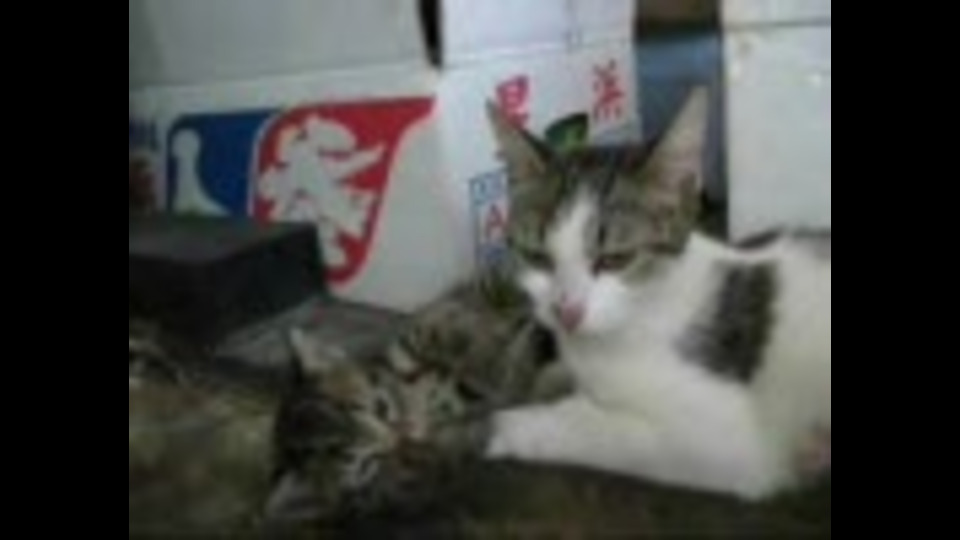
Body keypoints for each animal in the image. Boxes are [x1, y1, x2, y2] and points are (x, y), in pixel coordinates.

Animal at [482, 86, 831, 501]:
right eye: (537, 257)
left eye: (616, 259)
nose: (567, 311)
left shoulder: (735, 442)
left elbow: (611, 433)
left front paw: (511, 427)